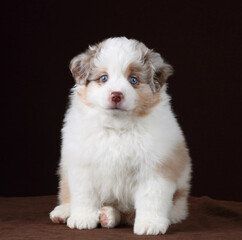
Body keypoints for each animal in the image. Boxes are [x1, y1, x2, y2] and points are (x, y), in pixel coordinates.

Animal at [50, 36, 192, 235]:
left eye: (133, 80)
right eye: (104, 78)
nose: (116, 95)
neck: (117, 128)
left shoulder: (155, 167)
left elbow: (151, 198)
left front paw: (150, 224)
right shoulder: (83, 165)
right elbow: (84, 194)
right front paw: (82, 218)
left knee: (126, 214)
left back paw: (108, 215)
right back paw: (64, 211)